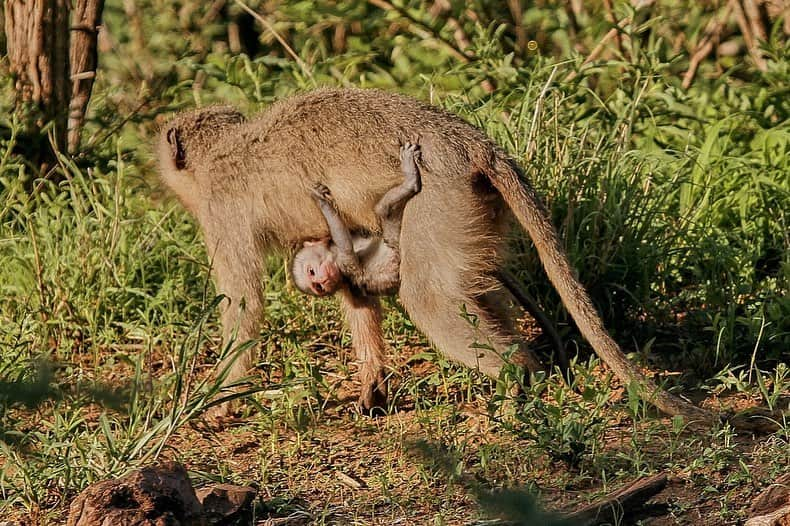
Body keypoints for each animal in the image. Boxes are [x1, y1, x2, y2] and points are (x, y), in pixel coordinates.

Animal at [290, 144, 424, 300]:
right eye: (318, 287)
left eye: (311, 271)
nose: (323, 280)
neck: (333, 252)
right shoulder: (344, 266)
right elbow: (347, 248)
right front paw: (321, 202)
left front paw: (320, 199)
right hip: (397, 244)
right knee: (383, 209)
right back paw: (410, 181)